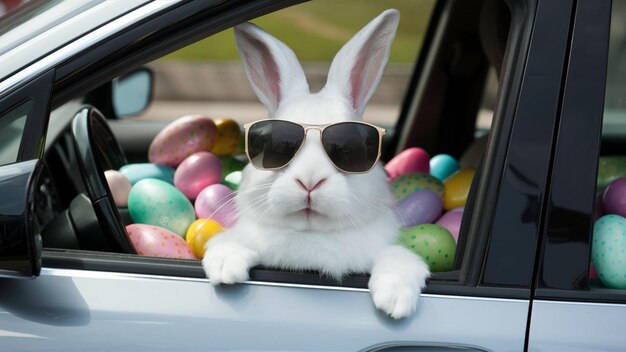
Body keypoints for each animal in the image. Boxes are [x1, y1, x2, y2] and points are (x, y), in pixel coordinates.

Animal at [202, 9, 432, 320]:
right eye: (274, 145)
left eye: (351, 148)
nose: (309, 182)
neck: (310, 236)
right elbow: (227, 243)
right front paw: (226, 269)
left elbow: (398, 258)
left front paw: (395, 300)